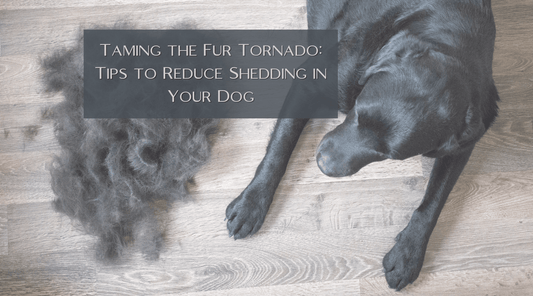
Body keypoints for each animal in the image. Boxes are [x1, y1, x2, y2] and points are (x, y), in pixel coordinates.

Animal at [224, 0, 498, 292]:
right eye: (358, 112)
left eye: (388, 154)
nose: (324, 164)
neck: (454, 40)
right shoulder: (310, 81)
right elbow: (280, 146)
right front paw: (252, 203)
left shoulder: (465, 139)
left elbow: (435, 201)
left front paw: (408, 252)